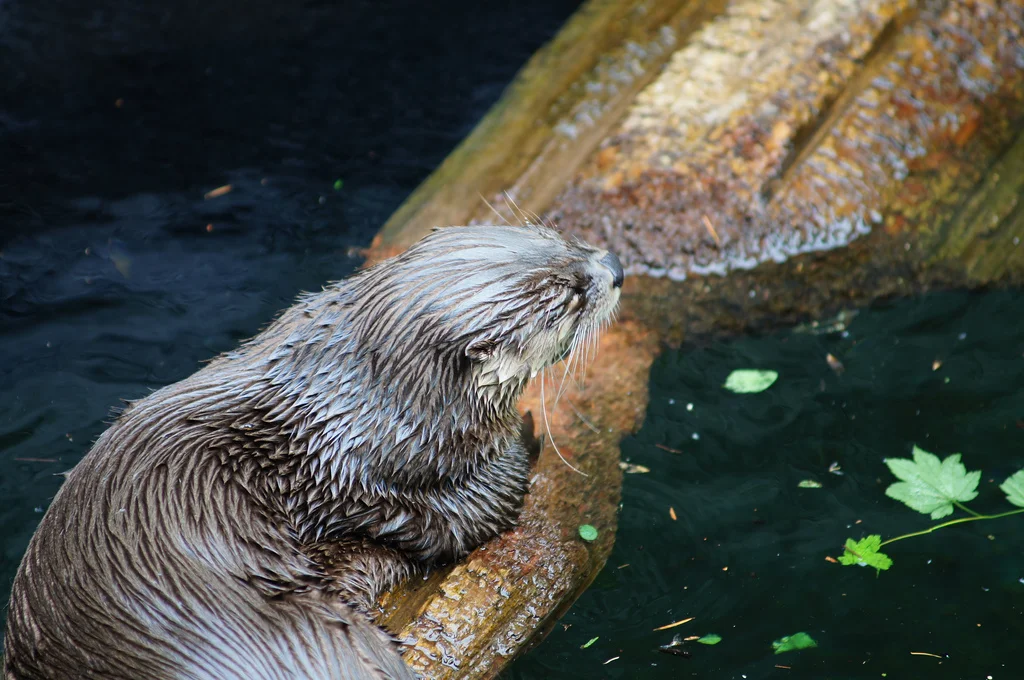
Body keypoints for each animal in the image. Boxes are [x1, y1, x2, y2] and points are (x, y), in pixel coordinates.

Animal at [4, 224, 623, 680]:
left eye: (561, 237)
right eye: (567, 296)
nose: (615, 268)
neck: (369, 408)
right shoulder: (382, 476)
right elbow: (478, 510)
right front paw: (525, 431)